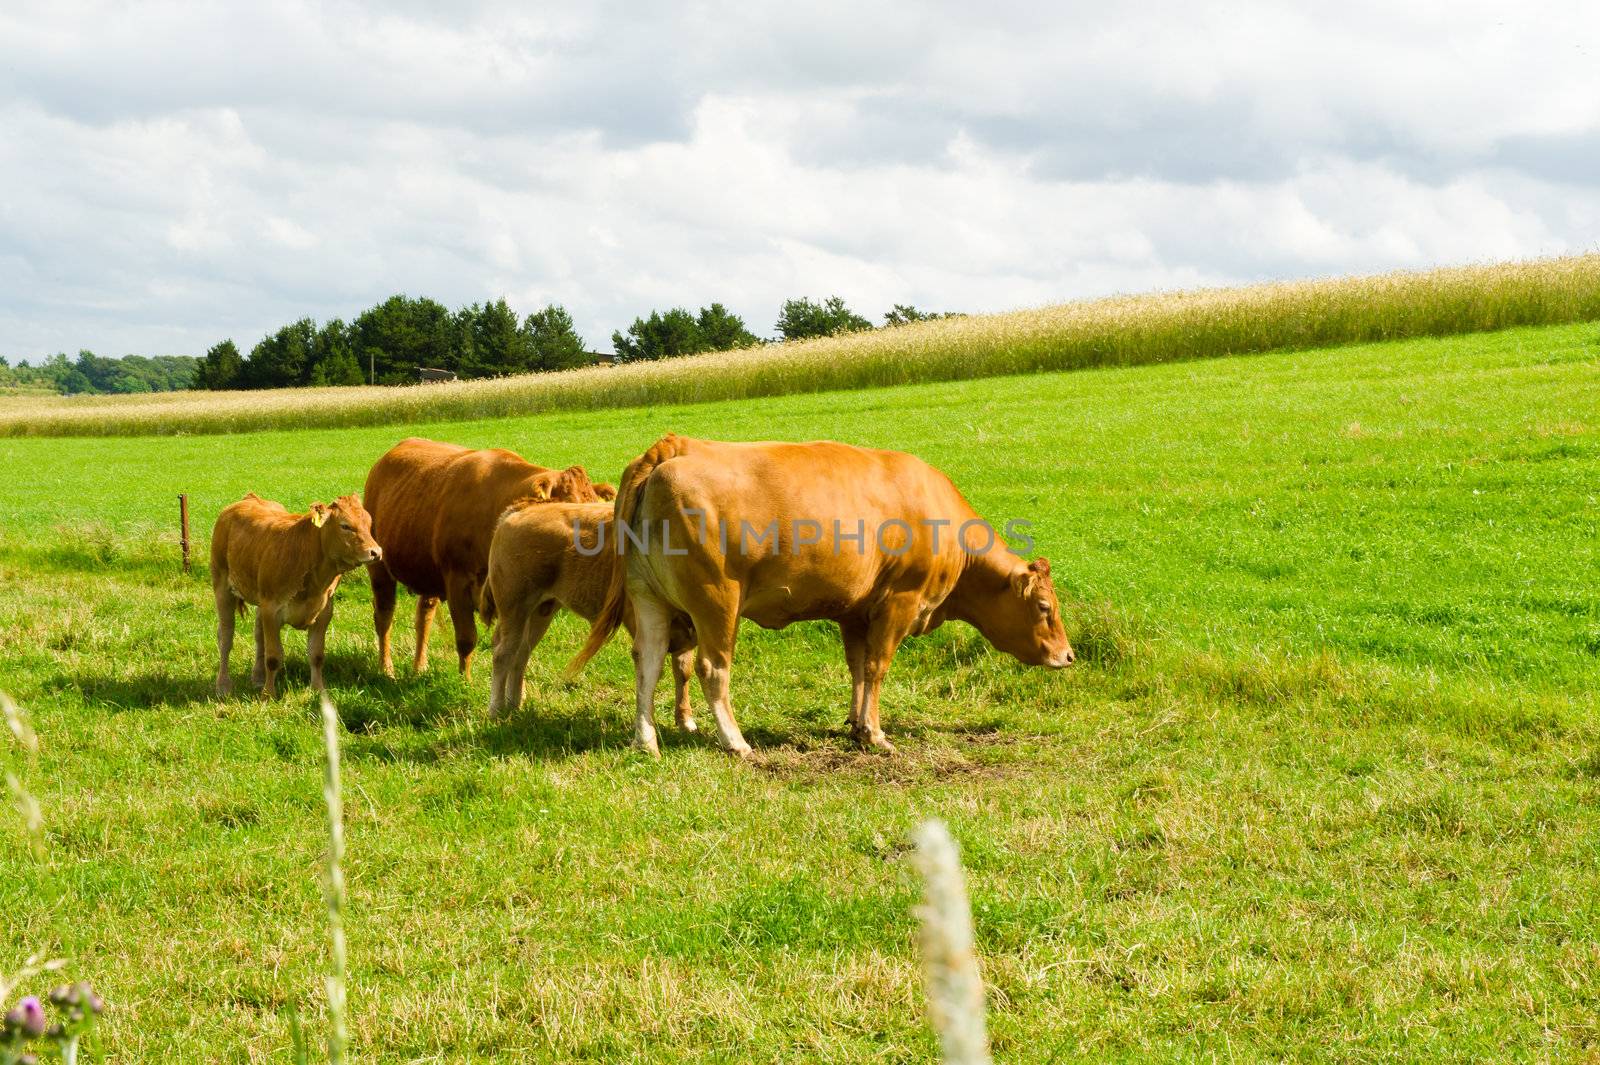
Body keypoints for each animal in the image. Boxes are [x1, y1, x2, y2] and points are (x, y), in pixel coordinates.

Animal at [211, 492, 382, 697]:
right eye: (345, 526)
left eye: (369, 522)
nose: (376, 552)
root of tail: (249, 498)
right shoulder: (271, 609)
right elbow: (273, 657)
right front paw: (268, 695)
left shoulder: (324, 611)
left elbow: (316, 655)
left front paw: (318, 690)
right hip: (222, 585)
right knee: (225, 636)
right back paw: (223, 686)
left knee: (259, 636)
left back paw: (258, 678)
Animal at [363, 434, 604, 671]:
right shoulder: (457, 583)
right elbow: (466, 639)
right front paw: (464, 680)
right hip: (379, 567)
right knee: (384, 617)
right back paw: (386, 669)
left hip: (426, 570)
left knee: (424, 614)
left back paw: (419, 667)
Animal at [480, 498, 694, 722]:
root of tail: (518, 512)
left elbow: (683, 667)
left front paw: (685, 721)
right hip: (514, 609)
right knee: (503, 653)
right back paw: (496, 710)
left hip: (539, 612)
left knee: (521, 653)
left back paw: (514, 705)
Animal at [569, 434, 1081, 754]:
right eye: (1044, 607)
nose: (1068, 655)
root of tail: (672, 447)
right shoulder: (899, 602)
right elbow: (877, 667)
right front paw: (875, 734)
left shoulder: (854, 611)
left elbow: (857, 667)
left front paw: (855, 724)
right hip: (716, 601)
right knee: (713, 667)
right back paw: (735, 742)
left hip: (649, 598)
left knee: (648, 662)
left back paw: (646, 740)